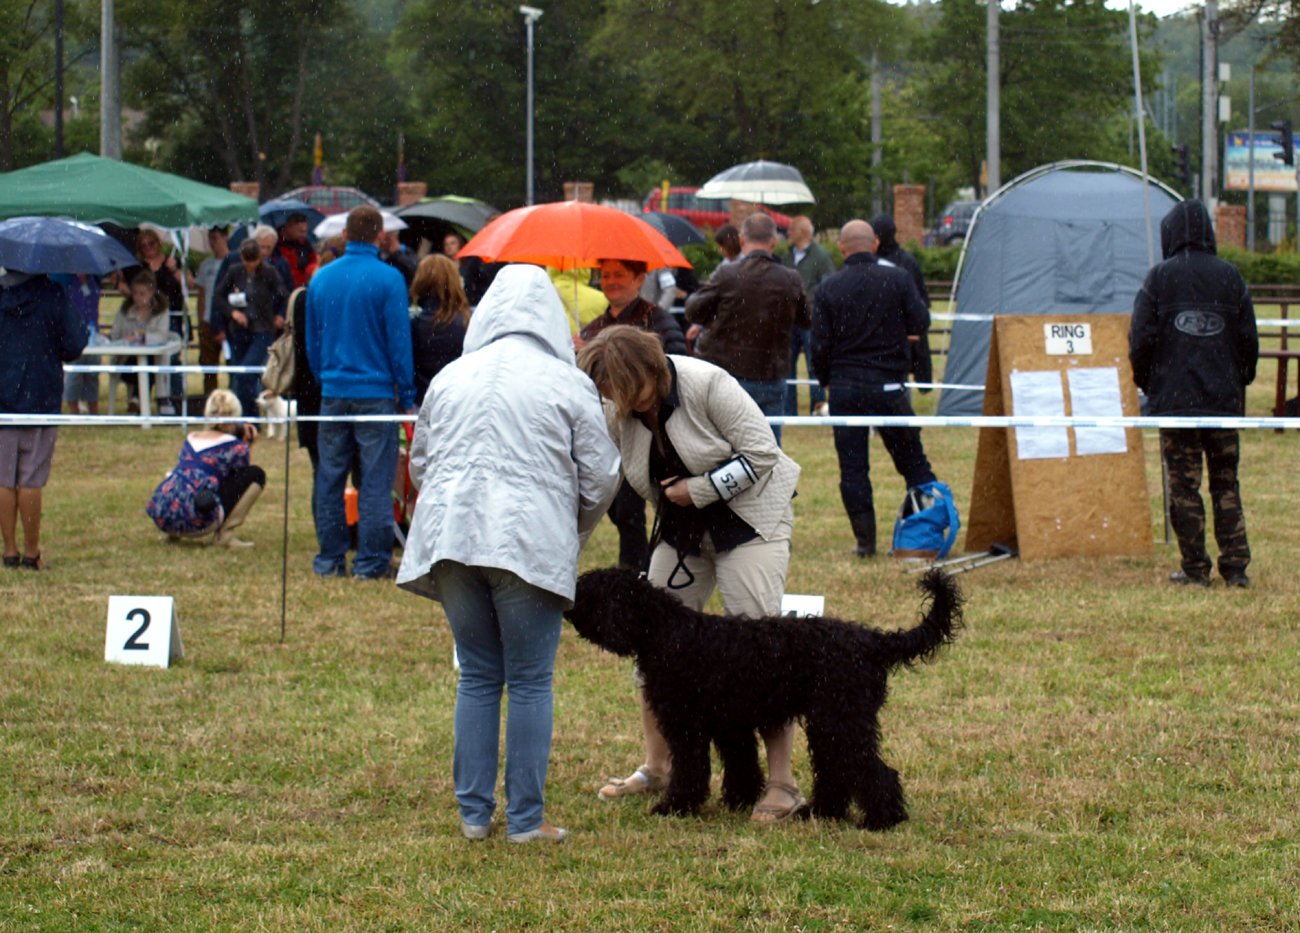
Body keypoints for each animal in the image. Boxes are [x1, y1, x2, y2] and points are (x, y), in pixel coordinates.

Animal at [565, 567, 963, 829]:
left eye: (587, 590)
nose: (565, 603)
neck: (665, 631)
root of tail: (874, 641)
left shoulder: (687, 725)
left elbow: (691, 769)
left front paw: (675, 806)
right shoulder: (729, 724)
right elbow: (742, 764)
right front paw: (737, 801)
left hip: (842, 721)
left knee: (871, 769)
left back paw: (883, 818)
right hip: (829, 724)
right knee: (836, 770)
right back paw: (820, 812)